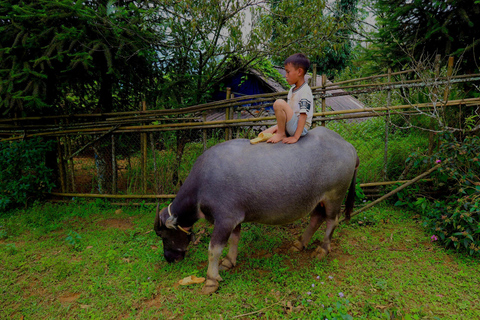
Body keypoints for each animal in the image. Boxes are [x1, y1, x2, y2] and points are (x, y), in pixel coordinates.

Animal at [153, 125, 356, 296]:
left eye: (163, 235)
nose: (169, 258)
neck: (201, 187)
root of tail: (349, 147)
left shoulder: (225, 219)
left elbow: (213, 250)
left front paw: (211, 280)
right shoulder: (234, 219)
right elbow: (234, 239)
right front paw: (229, 261)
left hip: (334, 196)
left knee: (331, 221)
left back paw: (322, 249)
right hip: (318, 200)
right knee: (316, 218)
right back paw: (300, 244)